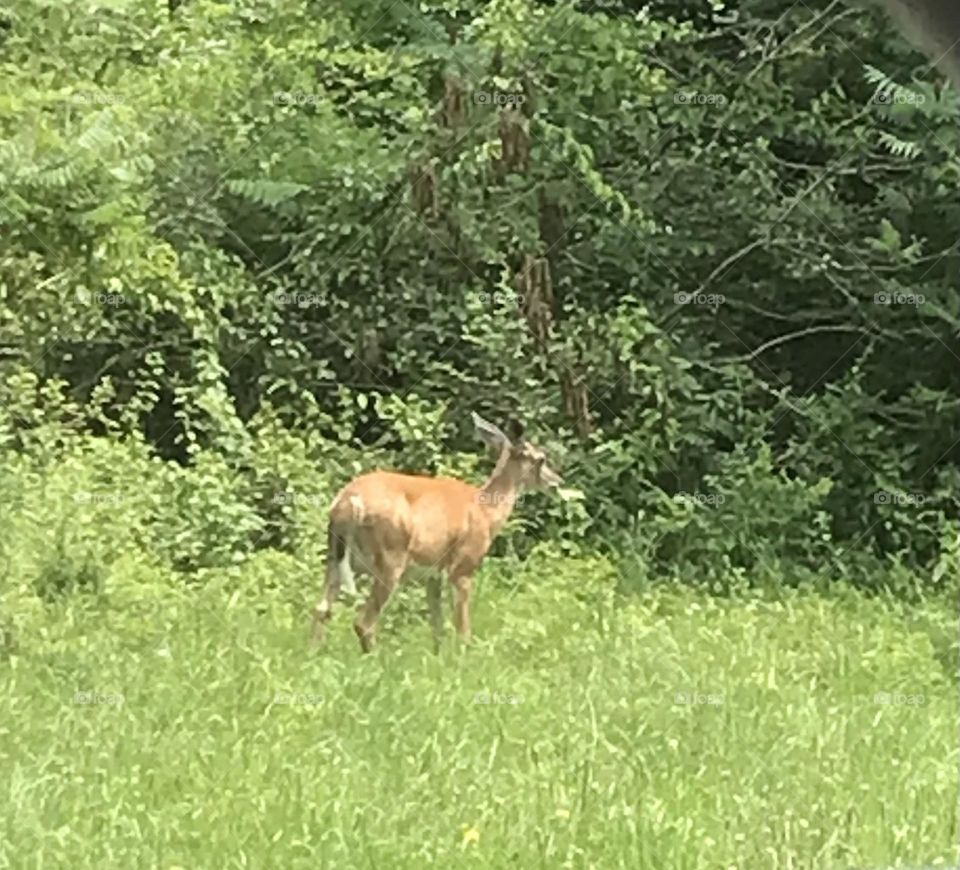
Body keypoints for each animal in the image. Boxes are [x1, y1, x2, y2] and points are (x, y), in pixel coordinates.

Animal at [310, 413, 563, 653]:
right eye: (540, 458)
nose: (557, 482)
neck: (486, 511)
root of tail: (347, 502)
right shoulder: (463, 566)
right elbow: (462, 626)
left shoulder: (433, 573)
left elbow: (438, 625)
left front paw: (438, 658)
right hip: (391, 556)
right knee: (363, 622)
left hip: (336, 557)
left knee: (321, 609)